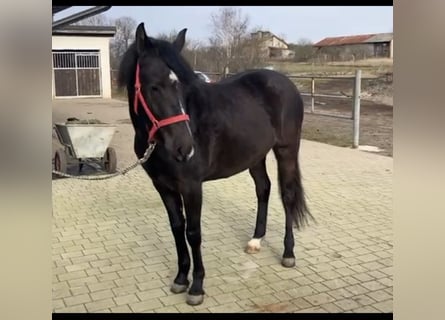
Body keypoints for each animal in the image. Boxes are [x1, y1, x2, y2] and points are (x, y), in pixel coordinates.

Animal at [118, 22, 312, 304]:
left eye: (181, 87)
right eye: (153, 86)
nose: (184, 148)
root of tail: (286, 83)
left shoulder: (191, 186)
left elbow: (193, 233)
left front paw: (197, 287)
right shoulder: (162, 186)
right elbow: (177, 228)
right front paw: (180, 279)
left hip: (286, 150)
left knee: (286, 196)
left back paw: (288, 253)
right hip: (255, 155)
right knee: (263, 189)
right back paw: (256, 240)